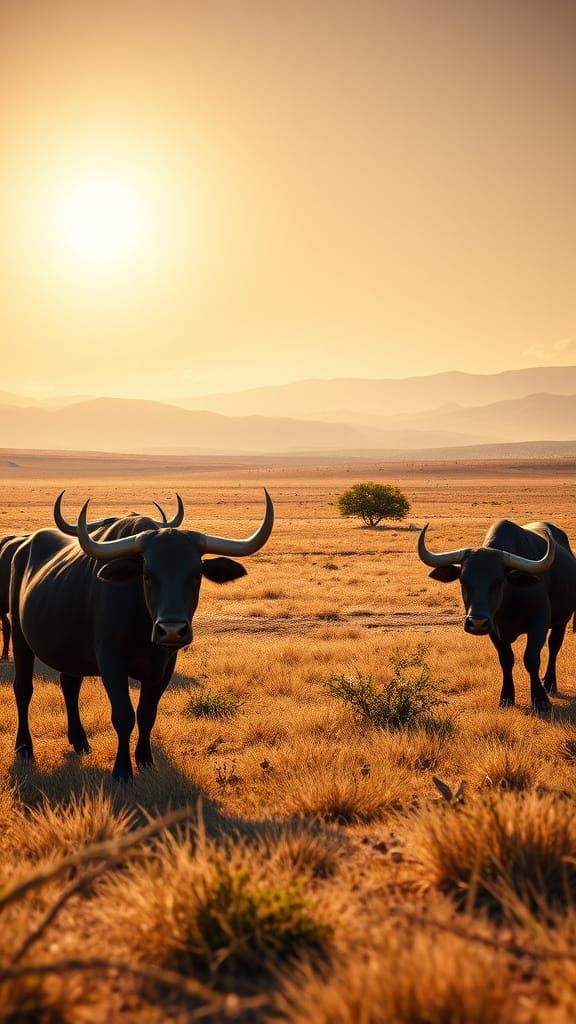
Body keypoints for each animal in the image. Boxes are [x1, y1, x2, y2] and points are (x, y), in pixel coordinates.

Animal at [418, 519, 576, 711]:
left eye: (499, 581)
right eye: (463, 580)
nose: (477, 623)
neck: (509, 599)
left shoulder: (539, 622)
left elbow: (531, 658)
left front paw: (540, 700)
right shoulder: (493, 629)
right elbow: (506, 659)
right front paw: (506, 697)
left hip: (562, 620)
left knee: (554, 647)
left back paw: (550, 683)